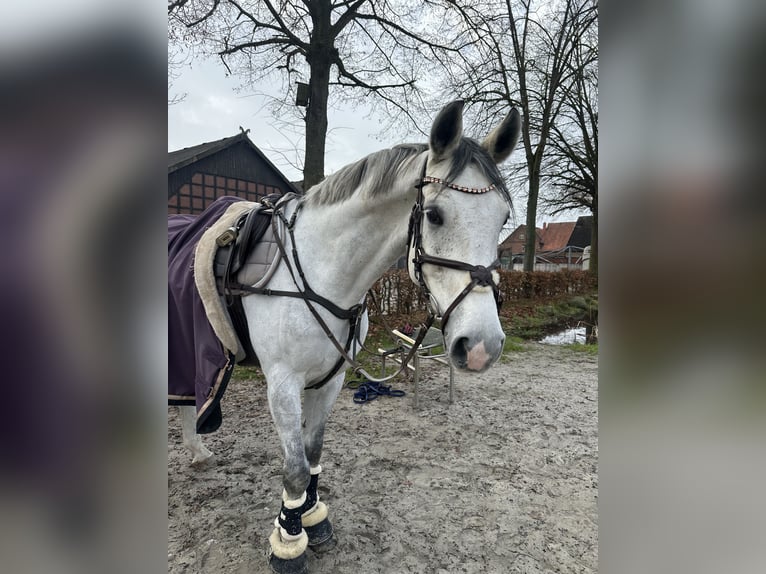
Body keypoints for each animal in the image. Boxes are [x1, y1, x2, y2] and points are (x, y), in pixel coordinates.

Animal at [171, 100, 521, 574]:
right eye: (434, 214)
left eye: (502, 218)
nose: (482, 345)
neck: (320, 270)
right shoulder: (282, 383)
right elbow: (295, 468)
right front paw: (288, 542)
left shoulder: (331, 378)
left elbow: (314, 453)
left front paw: (312, 518)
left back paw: (196, 451)